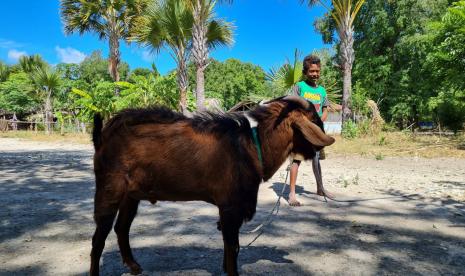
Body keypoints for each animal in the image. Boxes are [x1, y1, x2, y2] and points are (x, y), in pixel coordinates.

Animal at [89, 94, 334, 274]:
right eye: (314, 119)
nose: (321, 149)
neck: (251, 147)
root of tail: (103, 137)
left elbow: (230, 246)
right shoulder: (230, 207)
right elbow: (233, 246)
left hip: (131, 196)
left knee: (121, 228)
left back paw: (133, 266)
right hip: (109, 190)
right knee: (99, 238)